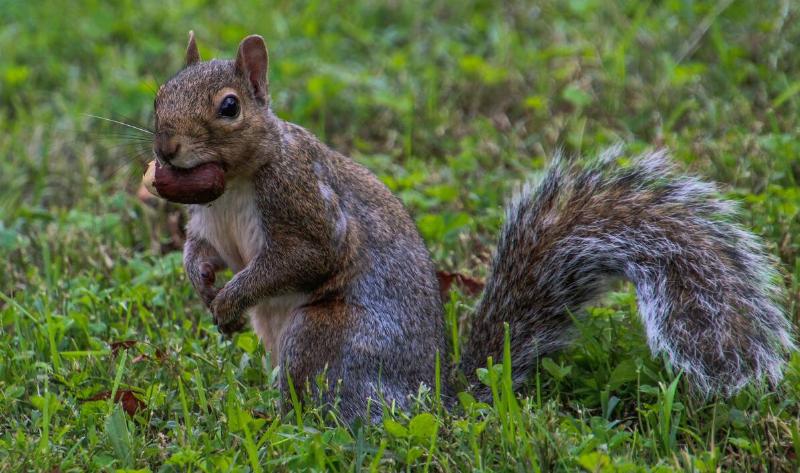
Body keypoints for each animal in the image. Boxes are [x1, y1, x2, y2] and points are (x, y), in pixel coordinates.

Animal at [152, 32, 795, 422]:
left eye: (230, 107)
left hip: (327, 337)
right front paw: (202, 283)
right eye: (159, 94)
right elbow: (200, 249)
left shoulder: (305, 202)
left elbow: (306, 256)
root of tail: (434, 401)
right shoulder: (208, 220)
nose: (165, 149)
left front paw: (232, 297)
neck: (233, 183)